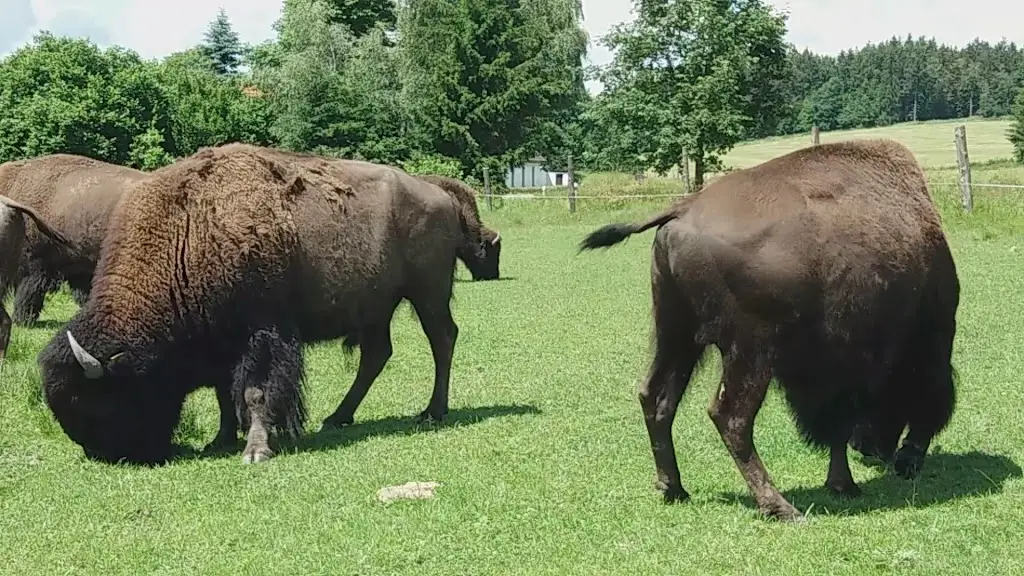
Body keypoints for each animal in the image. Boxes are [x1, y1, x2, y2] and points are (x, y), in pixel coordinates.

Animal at [39, 143, 465, 465]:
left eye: (97, 401)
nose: (112, 455)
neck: (188, 234)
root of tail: (438, 193)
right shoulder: (220, 344)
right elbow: (224, 394)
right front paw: (221, 439)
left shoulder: (260, 335)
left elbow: (253, 391)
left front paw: (256, 450)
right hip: (376, 308)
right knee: (377, 355)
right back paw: (338, 417)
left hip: (428, 294)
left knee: (442, 339)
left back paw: (433, 411)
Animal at [578, 139, 960, 522]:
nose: (878, 453)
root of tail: (682, 210)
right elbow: (838, 420)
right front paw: (846, 483)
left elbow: (836, 427)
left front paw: (843, 484)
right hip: (748, 353)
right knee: (730, 416)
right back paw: (780, 506)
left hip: (677, 336)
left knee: (657, 398)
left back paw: (674, 488)